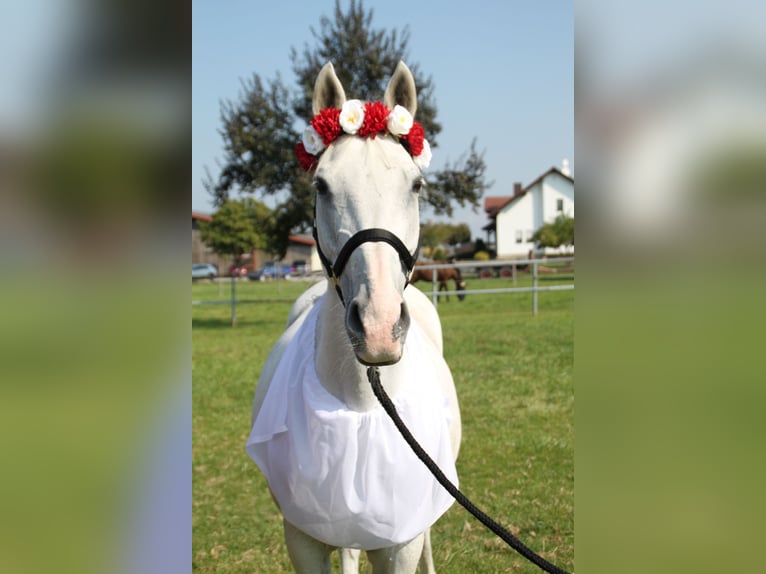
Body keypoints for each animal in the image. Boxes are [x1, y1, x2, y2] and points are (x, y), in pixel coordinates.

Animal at [248, 63, 462, 574]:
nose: (379, 328)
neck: (363, 404)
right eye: (321, 186)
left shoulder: (400, 544)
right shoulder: (303, 540)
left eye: (416, 185)